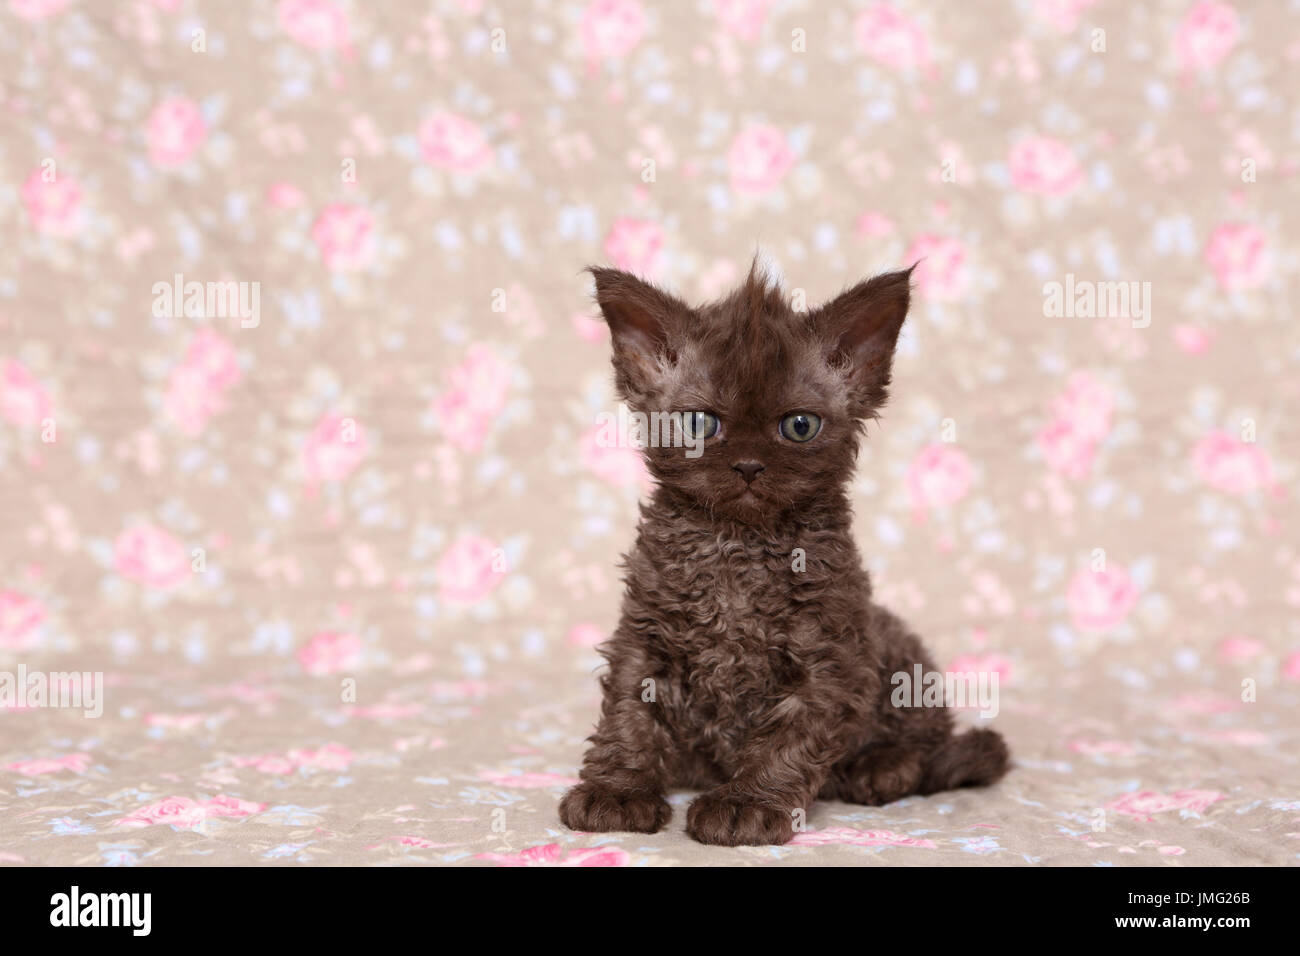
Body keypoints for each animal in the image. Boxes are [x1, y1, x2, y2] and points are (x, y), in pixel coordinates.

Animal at [553, 260, 1008, 842]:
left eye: (799, 426)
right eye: (700, 424)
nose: (748, 465)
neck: (737, 548)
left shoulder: (828, 656)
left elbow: (790, 738)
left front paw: (746, 805)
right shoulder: (644, 636)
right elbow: (629, 716)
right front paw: (618, 791)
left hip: (901, 655)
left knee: (938, 747)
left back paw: (882, 767)